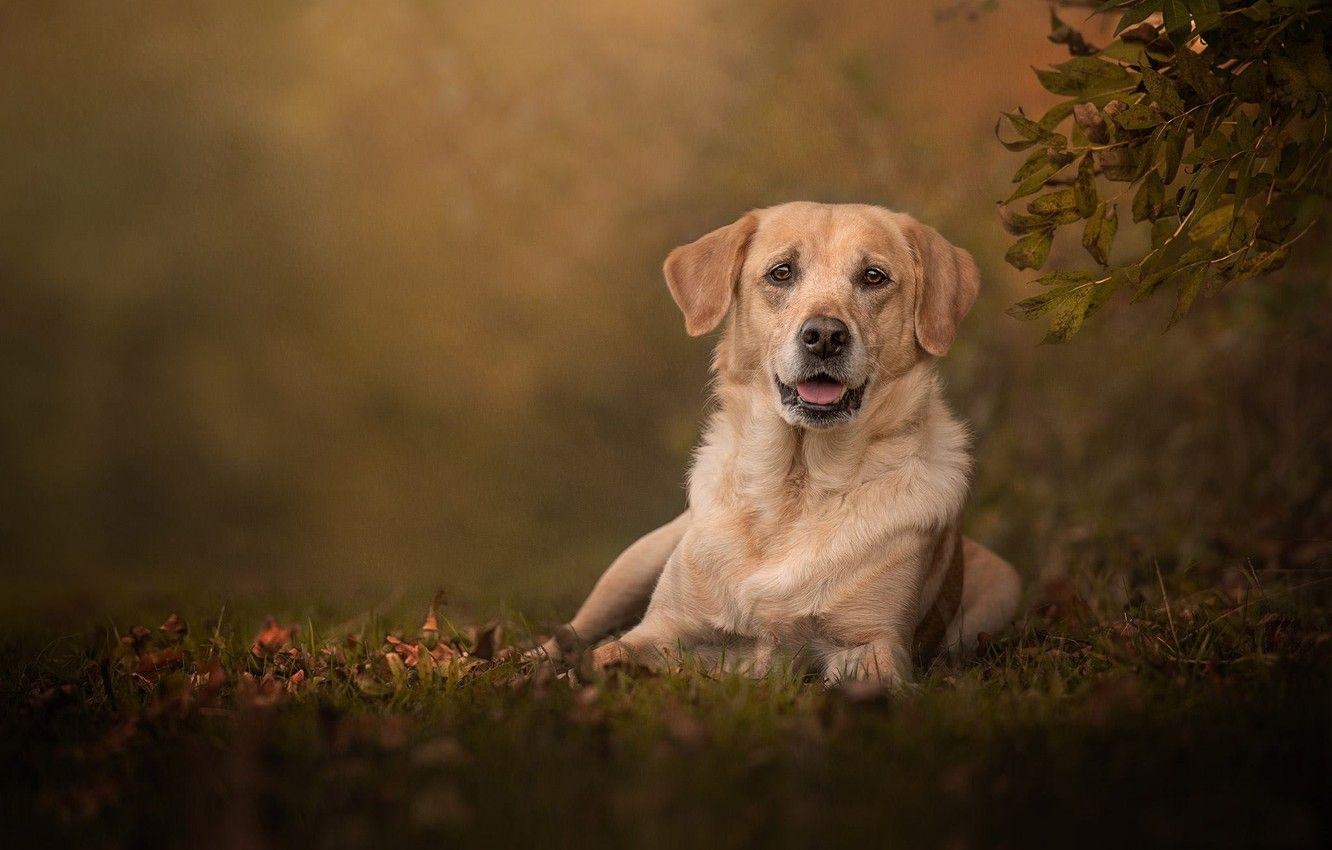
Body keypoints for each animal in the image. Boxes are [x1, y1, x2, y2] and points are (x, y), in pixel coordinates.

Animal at [540, 202, 1017, 687]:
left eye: (874, 276)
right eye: (781, 273)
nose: (825, 336)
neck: (796, 486)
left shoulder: (872, 644)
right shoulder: (661, 629)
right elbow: (601, 655)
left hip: (1002, 590)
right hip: (636, 562)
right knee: (572, 632)